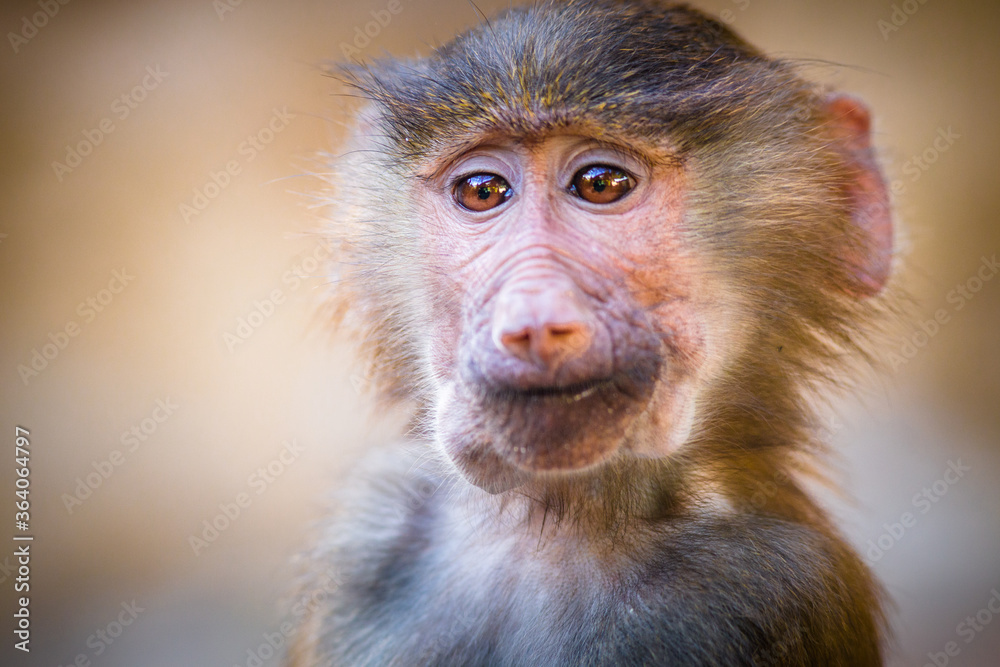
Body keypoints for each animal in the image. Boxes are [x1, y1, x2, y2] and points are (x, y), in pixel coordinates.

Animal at [286, 1, 897, 665]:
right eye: (483, 191)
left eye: (601, 183)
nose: (532, 322)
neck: (552, 526)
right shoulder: (373, 526)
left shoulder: (767, 583)